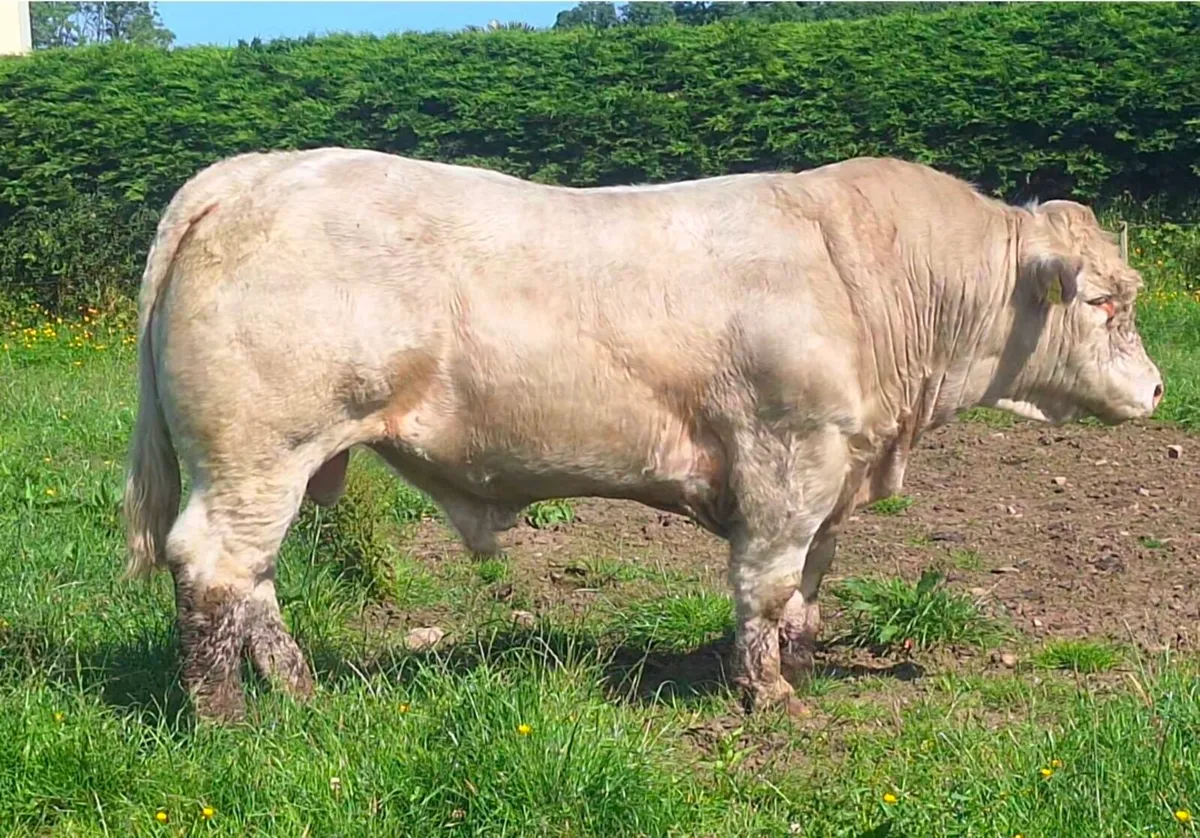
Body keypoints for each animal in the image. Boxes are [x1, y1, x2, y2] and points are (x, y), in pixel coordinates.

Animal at [122, 148, 1163, 722]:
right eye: (1105, 302)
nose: (1156, 387)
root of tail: (259, 169)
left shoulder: (835, 476)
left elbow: (807, 590)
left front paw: (799, 666)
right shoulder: (790, 456)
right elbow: (767, 582)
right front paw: (768, 695)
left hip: (276, 464)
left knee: (253, 582)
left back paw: (300, 693)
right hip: (258, 452)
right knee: (212, 570)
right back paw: (228, 722)